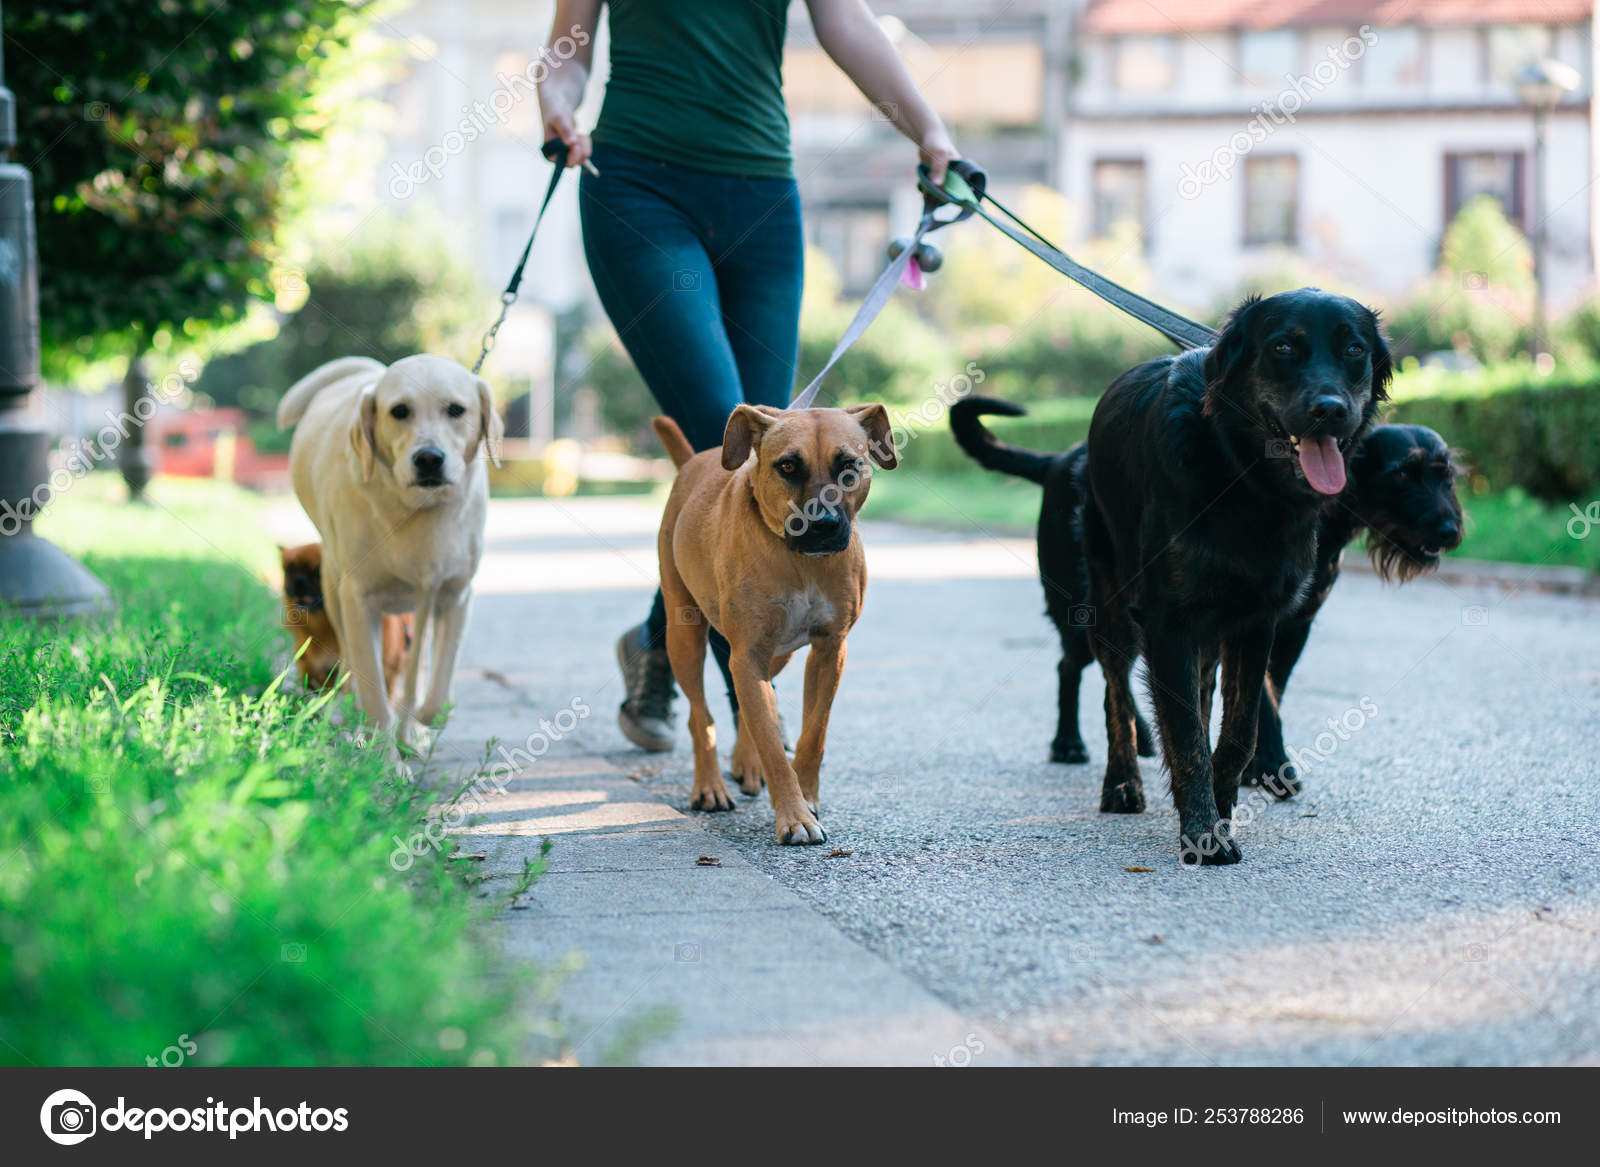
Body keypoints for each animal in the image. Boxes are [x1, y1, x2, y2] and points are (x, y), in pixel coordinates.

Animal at [652, 405, 902, 845]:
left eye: (849, 466)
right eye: (787, 466)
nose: (821, 524)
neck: (800, 561)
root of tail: (693, 462)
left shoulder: (829, 651)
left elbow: (812, 733)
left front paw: (807, 795)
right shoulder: (747, 654)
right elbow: (770, 742)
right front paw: (794, 815)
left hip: (777, 656)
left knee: (752, 703)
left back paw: (746, 764)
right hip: (685, 636)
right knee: (701, 717)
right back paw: (709, 786)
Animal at [947, 405, 1465, 797]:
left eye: (1447, 476)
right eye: (1401, 475)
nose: (1450, 531)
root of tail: (1058, 461)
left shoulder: (1293, 624)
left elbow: (1265, 692)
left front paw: (1258, 762)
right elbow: (1263, 698)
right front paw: (1270, 766)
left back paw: (1142, 736)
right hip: (1083, 605)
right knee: (1074, 667)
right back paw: (1069, 742)